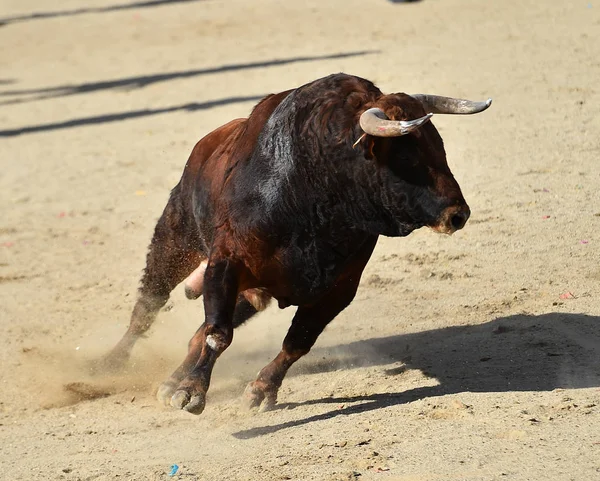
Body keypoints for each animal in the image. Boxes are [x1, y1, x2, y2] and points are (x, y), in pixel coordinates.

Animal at [101, 73, 490, 414]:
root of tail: (208, 142)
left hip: (251, 291)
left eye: (439, 146)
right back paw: (108, 365)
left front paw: (260, 390)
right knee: (149, 305)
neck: (315, 188)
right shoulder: (225, 263)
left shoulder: (338, 288)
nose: (458, 214)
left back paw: (168, 381)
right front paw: (192, 391)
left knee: (198, 331)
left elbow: (297, 341)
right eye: (408, 156)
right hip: (175, 235)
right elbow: (218, 333)